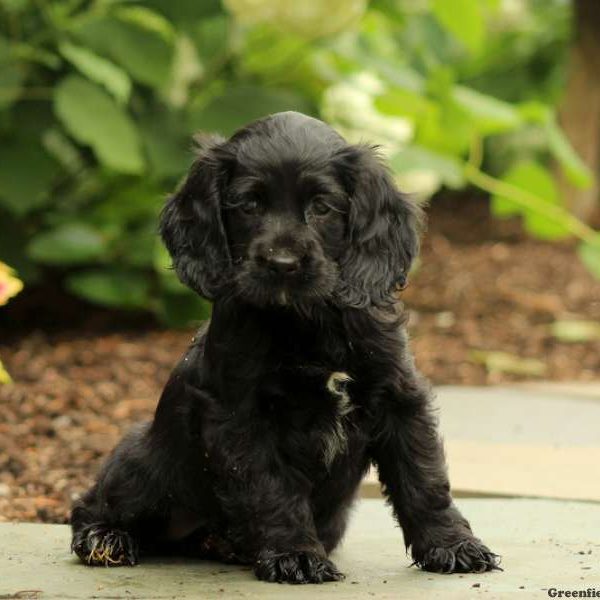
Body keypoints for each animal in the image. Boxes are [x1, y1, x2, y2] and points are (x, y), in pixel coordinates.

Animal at [70, 111, 500, 580]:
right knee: (93, 504)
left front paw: (453, 545)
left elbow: (423, 477)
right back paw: (105, 538)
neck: (309, 321)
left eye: (322, 206)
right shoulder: (241, 415)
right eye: (249, 205)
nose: (282, 263)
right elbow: (272, 487)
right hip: (144, 463)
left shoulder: (399, 396)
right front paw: (295, 554)